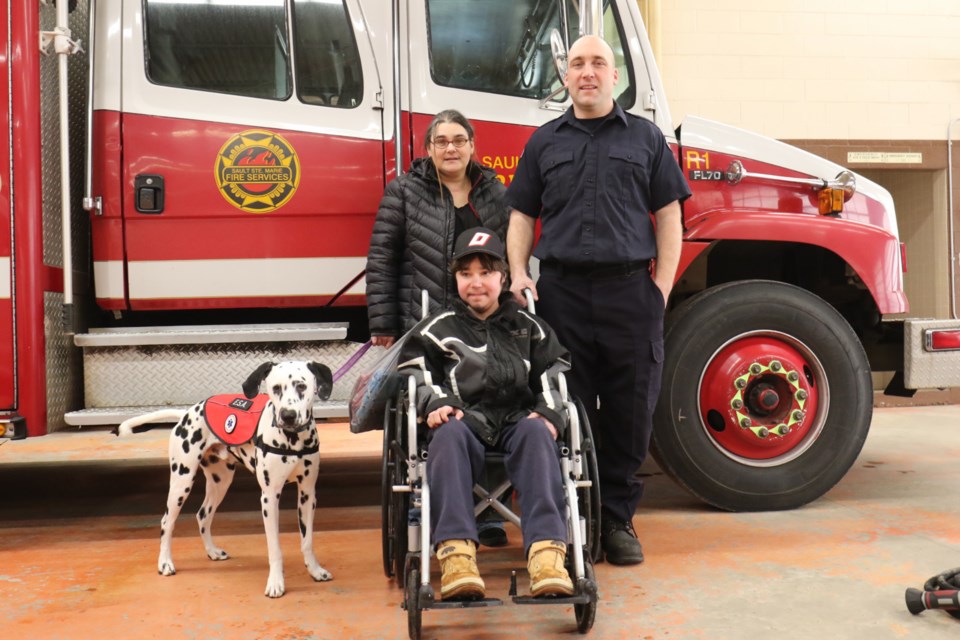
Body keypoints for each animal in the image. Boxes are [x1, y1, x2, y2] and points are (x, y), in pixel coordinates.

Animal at [117, 362, 334, 596]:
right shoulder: (269, 498)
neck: (293, 441)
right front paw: (276, 582)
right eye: (276, 388)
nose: (288, 415)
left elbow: (307, 541)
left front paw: (315, 571)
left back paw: (212, 551)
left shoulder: (308, 495)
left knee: (203, 515)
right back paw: (165, 562)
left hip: (220, 482)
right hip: (182, 481)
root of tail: (187, 413)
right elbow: (275, 548)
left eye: (301, 386)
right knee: (167, 521)